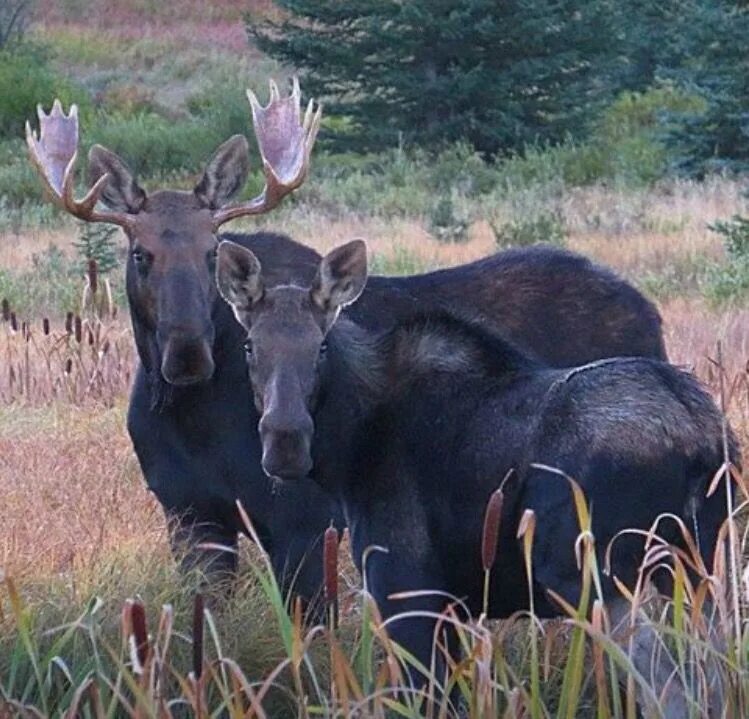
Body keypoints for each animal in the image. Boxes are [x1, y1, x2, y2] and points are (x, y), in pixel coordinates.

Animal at [27, 81, 668, 612]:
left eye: (212, 250)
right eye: (141, 254)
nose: (187, 353)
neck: (193, 418)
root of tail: (649, 311)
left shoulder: (305, 523)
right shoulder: (189, 515)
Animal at [218, 239, 736, 716]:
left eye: (320, 345)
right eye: (250, 346)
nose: (285, 440)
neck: (351, 447)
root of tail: (702, 438)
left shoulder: (406, 587)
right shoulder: (451, 605)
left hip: (592, 574)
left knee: (672, 690)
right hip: (698, 567)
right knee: (714, 676)